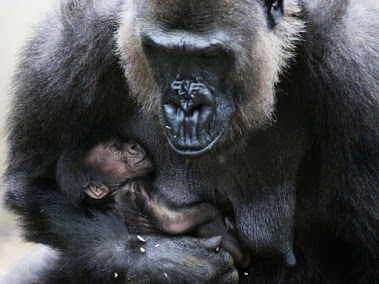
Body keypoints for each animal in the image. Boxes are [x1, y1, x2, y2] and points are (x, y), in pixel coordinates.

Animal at [58, 140, 249, 268]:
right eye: (115, 148)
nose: (133, 145)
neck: (114, 191)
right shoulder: (138, 185)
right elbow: (173, 222)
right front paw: (214, 211)